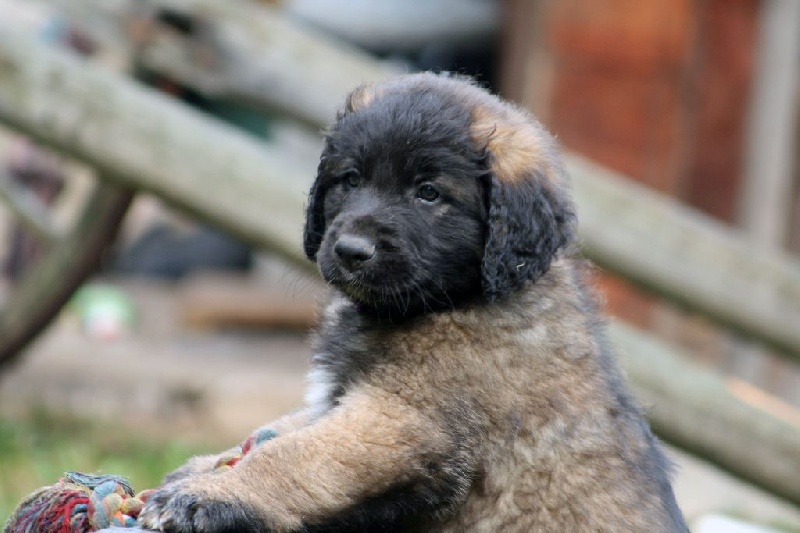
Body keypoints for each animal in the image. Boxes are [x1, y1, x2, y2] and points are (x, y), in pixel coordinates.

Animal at [140, 72, 688, 531]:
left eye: (428, 193)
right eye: (350, 180)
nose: (350, 251)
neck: (456, 299)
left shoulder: (405, 416)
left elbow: (296, 453)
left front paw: (214, 494)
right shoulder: (348, 402)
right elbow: (281, 427)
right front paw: (205, 468)